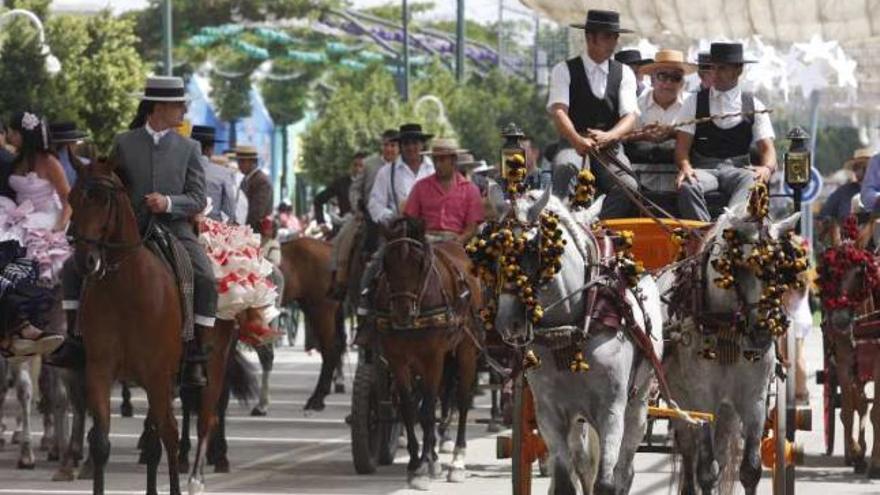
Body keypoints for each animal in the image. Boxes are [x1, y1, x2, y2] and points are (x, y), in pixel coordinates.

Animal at [69, 159, 184, 495]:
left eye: (103, 200)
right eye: (71, 199)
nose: (85, 260)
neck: (126, 288)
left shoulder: (158, 375)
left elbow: (169, 435)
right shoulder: (99, 370)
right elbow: (100, 443)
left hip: (166, 379)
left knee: (166, 434)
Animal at [372, 219, 482, 490]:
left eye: (420, 263)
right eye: (386, 263)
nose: (402, 313)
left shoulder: (433, 357)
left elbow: (429, 409)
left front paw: (425, 465)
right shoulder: (398, 359)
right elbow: (410, 408)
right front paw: (416, 463)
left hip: (466, 349)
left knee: (461, 400)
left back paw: (457, 461)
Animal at [496, 188, 660, 494]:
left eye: (531, 250)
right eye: (494, 253)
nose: (506, 322)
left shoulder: (611, 409)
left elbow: (606, 482)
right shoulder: (550, 414)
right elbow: (564, 481)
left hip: (639, 401)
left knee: (625, 468)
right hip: (579, 419)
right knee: (583, 462)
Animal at [656, 202, 800, 495]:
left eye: (778, 267)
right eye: (739, 266)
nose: (763, 333)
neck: (726, 326)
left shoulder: (754, 398)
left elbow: (750, 469)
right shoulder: (702, 399)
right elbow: (706, 470)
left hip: (726, 409)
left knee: (721, 452)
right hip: (681, 398)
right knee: (690, 451)